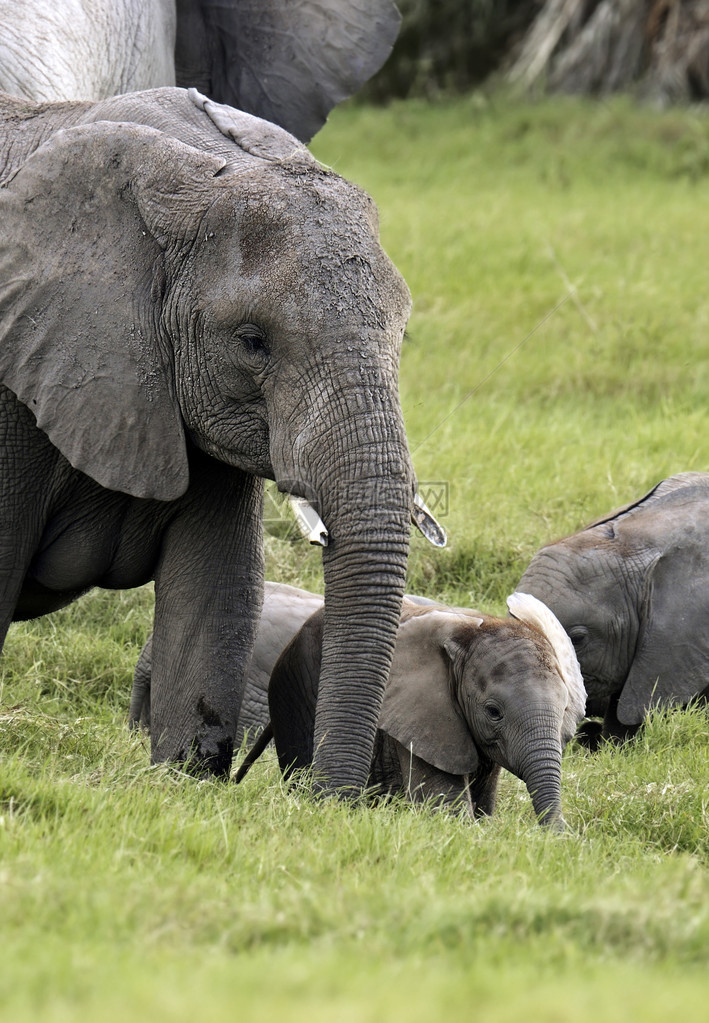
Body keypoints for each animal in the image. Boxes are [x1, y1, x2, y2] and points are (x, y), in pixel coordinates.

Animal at [235, 597, 585, 826]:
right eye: (493, 711)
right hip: (295, 694)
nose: (558, 838)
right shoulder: (423, 718)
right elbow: (445, 808)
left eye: (564, 708)